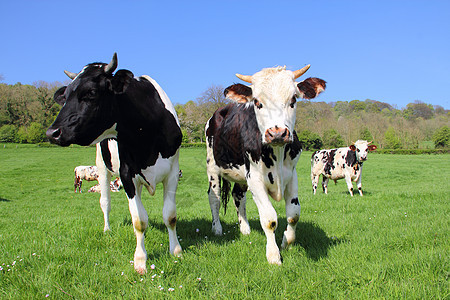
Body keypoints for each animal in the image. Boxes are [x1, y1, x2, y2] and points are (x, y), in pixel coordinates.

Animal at [46, 54, 183, 274]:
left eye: (91, 92)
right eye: (65, 96)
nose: (52, 133)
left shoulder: (172, 173)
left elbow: (170, 215)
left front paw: (176, 251)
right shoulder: (127, 175)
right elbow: (139, 220)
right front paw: (140, 261)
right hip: (102, 169)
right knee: (105, 202)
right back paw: (107, 229)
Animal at [206, 64, 326, 264]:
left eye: (293, 99)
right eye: (257, 101)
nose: (277, 133)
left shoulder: (291, 175)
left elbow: (294, 214)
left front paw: (286, 242)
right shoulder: (255, 179)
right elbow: (269, 219)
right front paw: (273, 255)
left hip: (241, 176)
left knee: (238, 196)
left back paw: (245, 228)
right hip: (212, 168)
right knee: (214, 198)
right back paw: (217, 228)